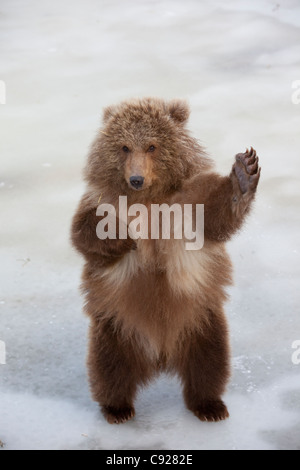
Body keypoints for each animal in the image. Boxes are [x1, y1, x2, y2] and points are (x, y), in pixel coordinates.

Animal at [71, 97, 260, 424]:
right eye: (124, 147)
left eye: (152, 146)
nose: (136, 178)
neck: (148, 198)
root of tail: (161, 356)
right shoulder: (99, 200)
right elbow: (86, 235)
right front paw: (121, 234)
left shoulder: (189, 202)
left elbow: (217, 217)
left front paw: (244, 174)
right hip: (116, 327)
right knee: (110, 366)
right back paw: (117, 408)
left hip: (201, 321)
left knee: (209, 362)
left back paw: (210, 405)